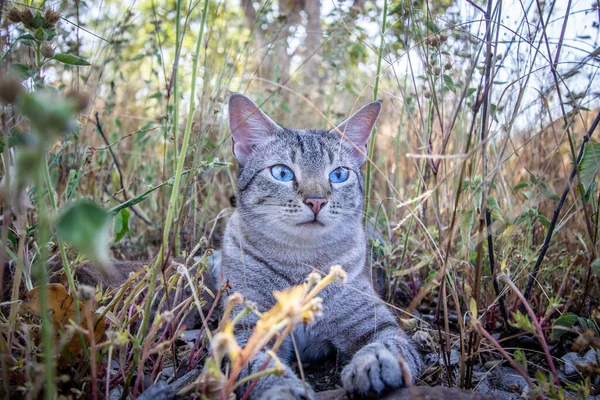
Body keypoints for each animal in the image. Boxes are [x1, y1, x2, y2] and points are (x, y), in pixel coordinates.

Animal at [220, 94, 422, 400]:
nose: (316, 200)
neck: (301, 262)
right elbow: (258, 367)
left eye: (338, 175)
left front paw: (374, 365)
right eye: (282, 173)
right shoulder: (246, 329)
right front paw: (284, 390)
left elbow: (389, 345)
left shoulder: (375, 321)